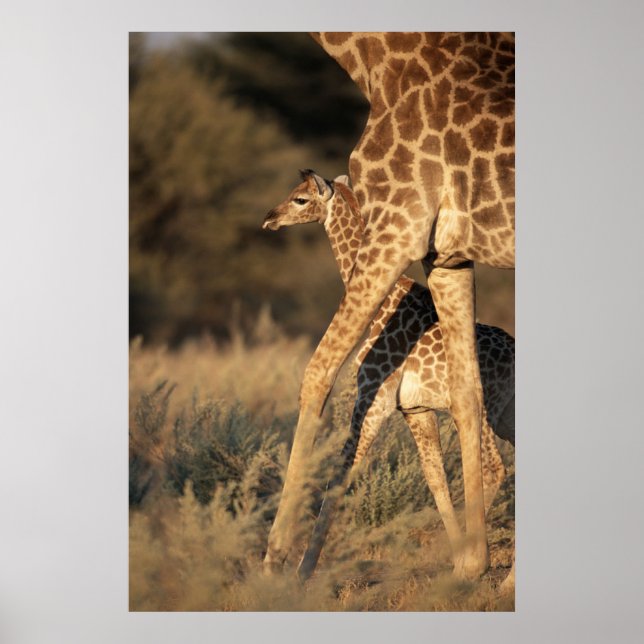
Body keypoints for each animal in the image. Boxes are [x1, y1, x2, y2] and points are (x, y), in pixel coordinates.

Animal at [264, 33, 515, 582]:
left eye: (300, 199)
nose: (268, 218)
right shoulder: (414, 406)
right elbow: (433, 474)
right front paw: (462, 558)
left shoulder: (375, 396)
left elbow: (342, 464)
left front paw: (288, 568)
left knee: (497, 463)